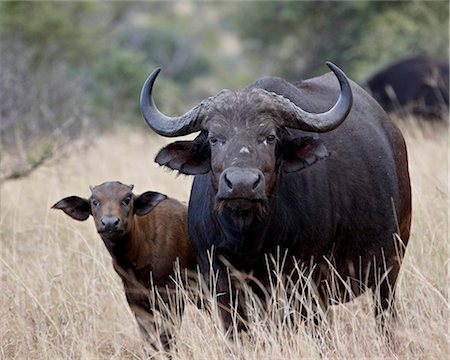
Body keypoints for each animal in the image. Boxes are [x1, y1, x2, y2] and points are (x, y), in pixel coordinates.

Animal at [51, 181, 195, 350]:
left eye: (127, 199)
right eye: (95, 201)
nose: (110, 223)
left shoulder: (173, 298)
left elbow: (167, 339)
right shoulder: (136, 301)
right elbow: (150, 341)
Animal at [140, 62, 412, 334]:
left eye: (269, 137)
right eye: (214, 138)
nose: (241, 184)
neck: (247, 237)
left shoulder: (305, 280)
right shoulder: (221, 285)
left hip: (390, 267)